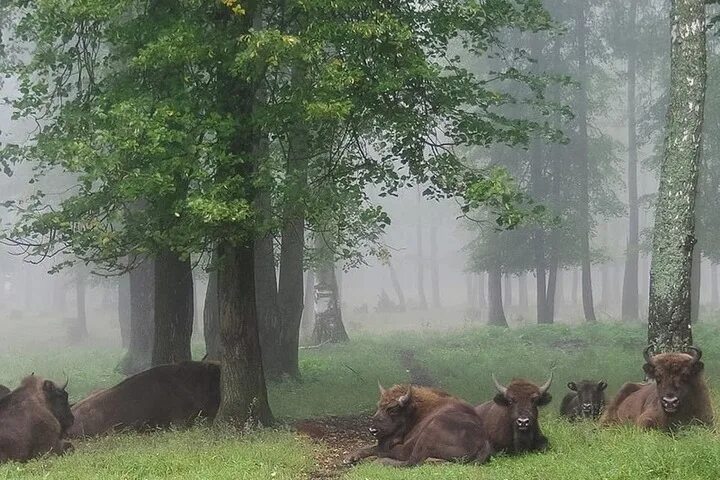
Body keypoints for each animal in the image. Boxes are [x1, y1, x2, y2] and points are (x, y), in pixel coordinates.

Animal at [346, 380, 492, 466]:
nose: (373, 430)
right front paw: (350, 457)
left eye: (392, 409)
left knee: (410, 460)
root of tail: (483, 442)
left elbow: (379, 448)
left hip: (431, 429)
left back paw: (380, 461)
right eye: (378, 406)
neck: (417, 411)